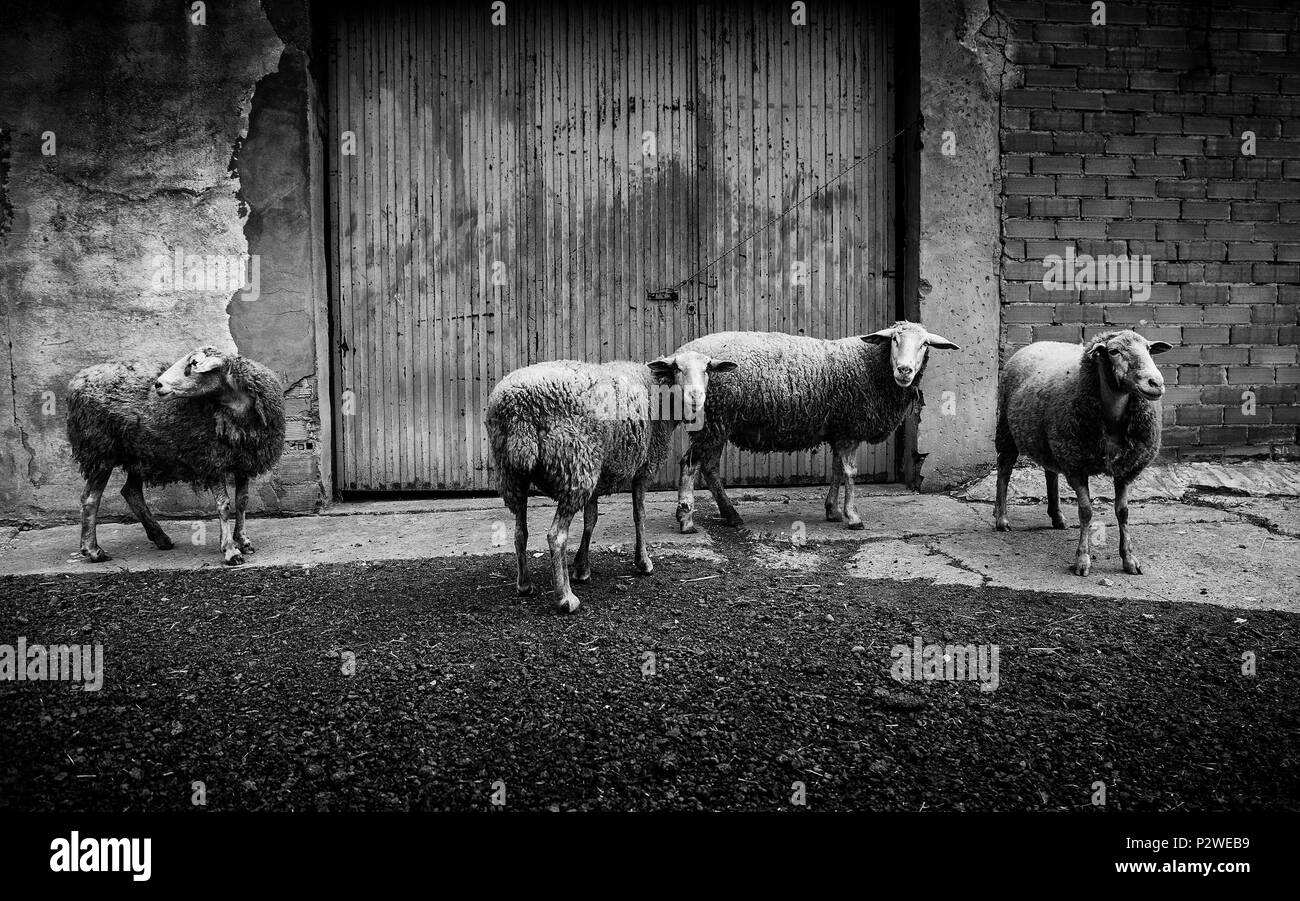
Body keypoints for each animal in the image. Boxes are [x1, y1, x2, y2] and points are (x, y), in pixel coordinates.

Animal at [66, 348, 287, 566]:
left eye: (194, 363)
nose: (157, 384)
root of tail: (77, 380)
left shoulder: (244, 460)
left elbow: (242, 501)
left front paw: (243, 541)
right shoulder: (212, 459)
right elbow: (224, 506)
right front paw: (230, 550)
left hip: (140, 453)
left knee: (131, 492)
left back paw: (160, 538)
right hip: (100, 449)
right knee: (90, 498)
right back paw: (93, 550)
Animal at [486, 348, 733, 611]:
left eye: (707, 368)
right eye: (677, 368)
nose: (696, 396)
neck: (659, 391)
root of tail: (519, 407)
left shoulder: (598, 472)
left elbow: (590, 520)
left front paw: (582, 568)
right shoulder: (643, 467)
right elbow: (639, 515)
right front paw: (643, 562)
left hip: (513, 473)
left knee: (520, 531)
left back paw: (524, 585)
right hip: (575, 466)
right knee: (556, 536)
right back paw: (565, 598)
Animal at [676, 321, 961, 530]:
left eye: (924, 344)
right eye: (894, 340)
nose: (904, 370)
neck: (870, 366)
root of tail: (681, 354)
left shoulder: (839, 430)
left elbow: (836, 469)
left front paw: (832, 511)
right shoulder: (850, 428)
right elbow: (849, 472)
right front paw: (853, 516)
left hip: (717, 423)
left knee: (709, 468)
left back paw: (731, 515)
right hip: (713, 421)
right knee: (691, 464)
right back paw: (687, 519)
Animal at [993, 330, 1180, 577]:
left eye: (1149, 349)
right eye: (1114, 351)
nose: (1156, 383)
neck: (1111, 418)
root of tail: (1039, 343)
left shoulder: (1125, 469)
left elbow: (1123, 512)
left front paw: (1129, 559)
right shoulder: (1076, 466)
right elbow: (1086, 512)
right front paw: (1083, 559)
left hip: (1050, 442)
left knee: (1050, 473)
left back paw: (1057, 516)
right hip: (1008, 430)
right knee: (1004, 472)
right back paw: (1002, 519)